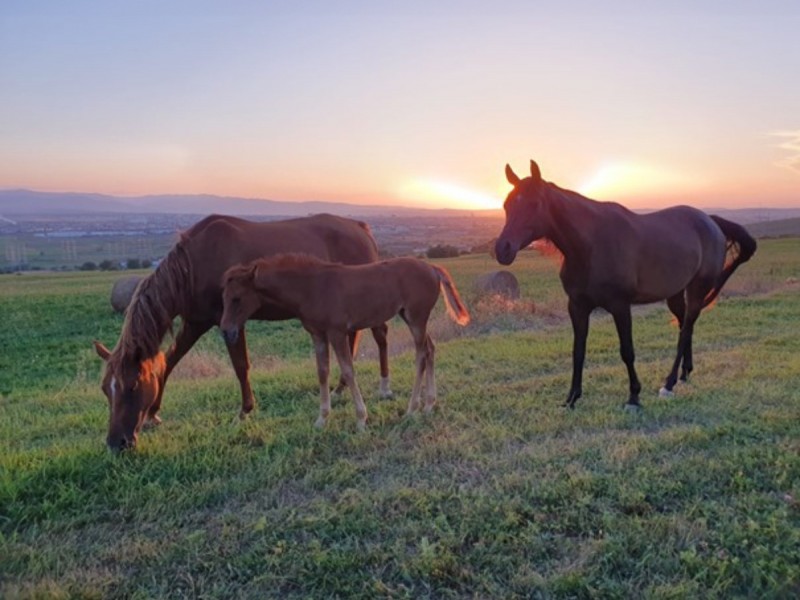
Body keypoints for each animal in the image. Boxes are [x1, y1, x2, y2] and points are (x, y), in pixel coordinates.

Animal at [93, 214, 392, 451]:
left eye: (132, 386)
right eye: (105, 390)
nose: (116, 444)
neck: (194, 264)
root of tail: (360, 227)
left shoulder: (229, 324)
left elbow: (240, 366)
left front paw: (245, 411)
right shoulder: (195, 322)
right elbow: (169, 362)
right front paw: (154, 412)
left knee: (380, 335)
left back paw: (384, 387)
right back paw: (340, 388)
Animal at [219, 254, 470, 430]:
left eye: (237, 298)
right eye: (224, 297)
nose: (226, 331)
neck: (312, 287)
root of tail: (432, 268)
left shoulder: (337, 332)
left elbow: (348, 371)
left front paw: (361, 419)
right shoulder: (318, 335)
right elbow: (322, 372)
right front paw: (322, 419)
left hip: (417, 318)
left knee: (420, 356)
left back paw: (412, 409)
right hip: (411, 317)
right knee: (430, 349)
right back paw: (429, 404)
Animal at [494, 160, 756, 410]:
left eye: (534, 203)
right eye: (507, 205)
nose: (502, 249)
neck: (590, 245)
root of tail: (710, 222)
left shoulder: (620, 306)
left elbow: (627, 351)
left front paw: (633, 397)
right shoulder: (577, 306)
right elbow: (578, 352)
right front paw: (571, 399)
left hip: (696, 289)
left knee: (686, 329)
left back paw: (669, 383)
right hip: (675, 293)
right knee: (685, 325)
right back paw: (684, 374)